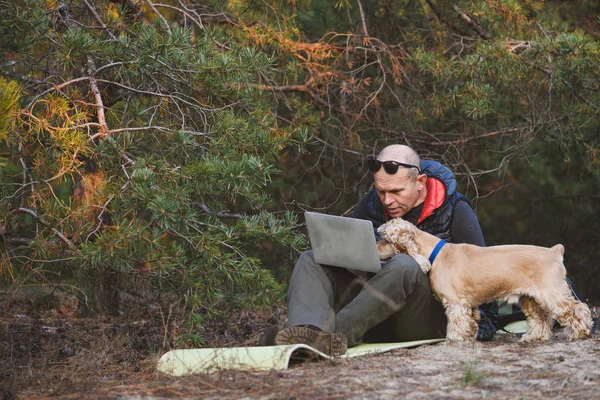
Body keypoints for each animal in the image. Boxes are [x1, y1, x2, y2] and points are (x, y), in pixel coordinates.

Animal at [378, 217, 592, 342]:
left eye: (386, 240)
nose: (376, 246)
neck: (435, 254)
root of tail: (555, 251)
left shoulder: (455, 302)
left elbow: (456, 324)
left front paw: (454, 340)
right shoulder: (469, 305)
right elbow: (471, 323)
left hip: (552, 293)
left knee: (578, 309)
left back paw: (580, 333)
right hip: (530, 298)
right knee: (541, 319)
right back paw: (533, 337)